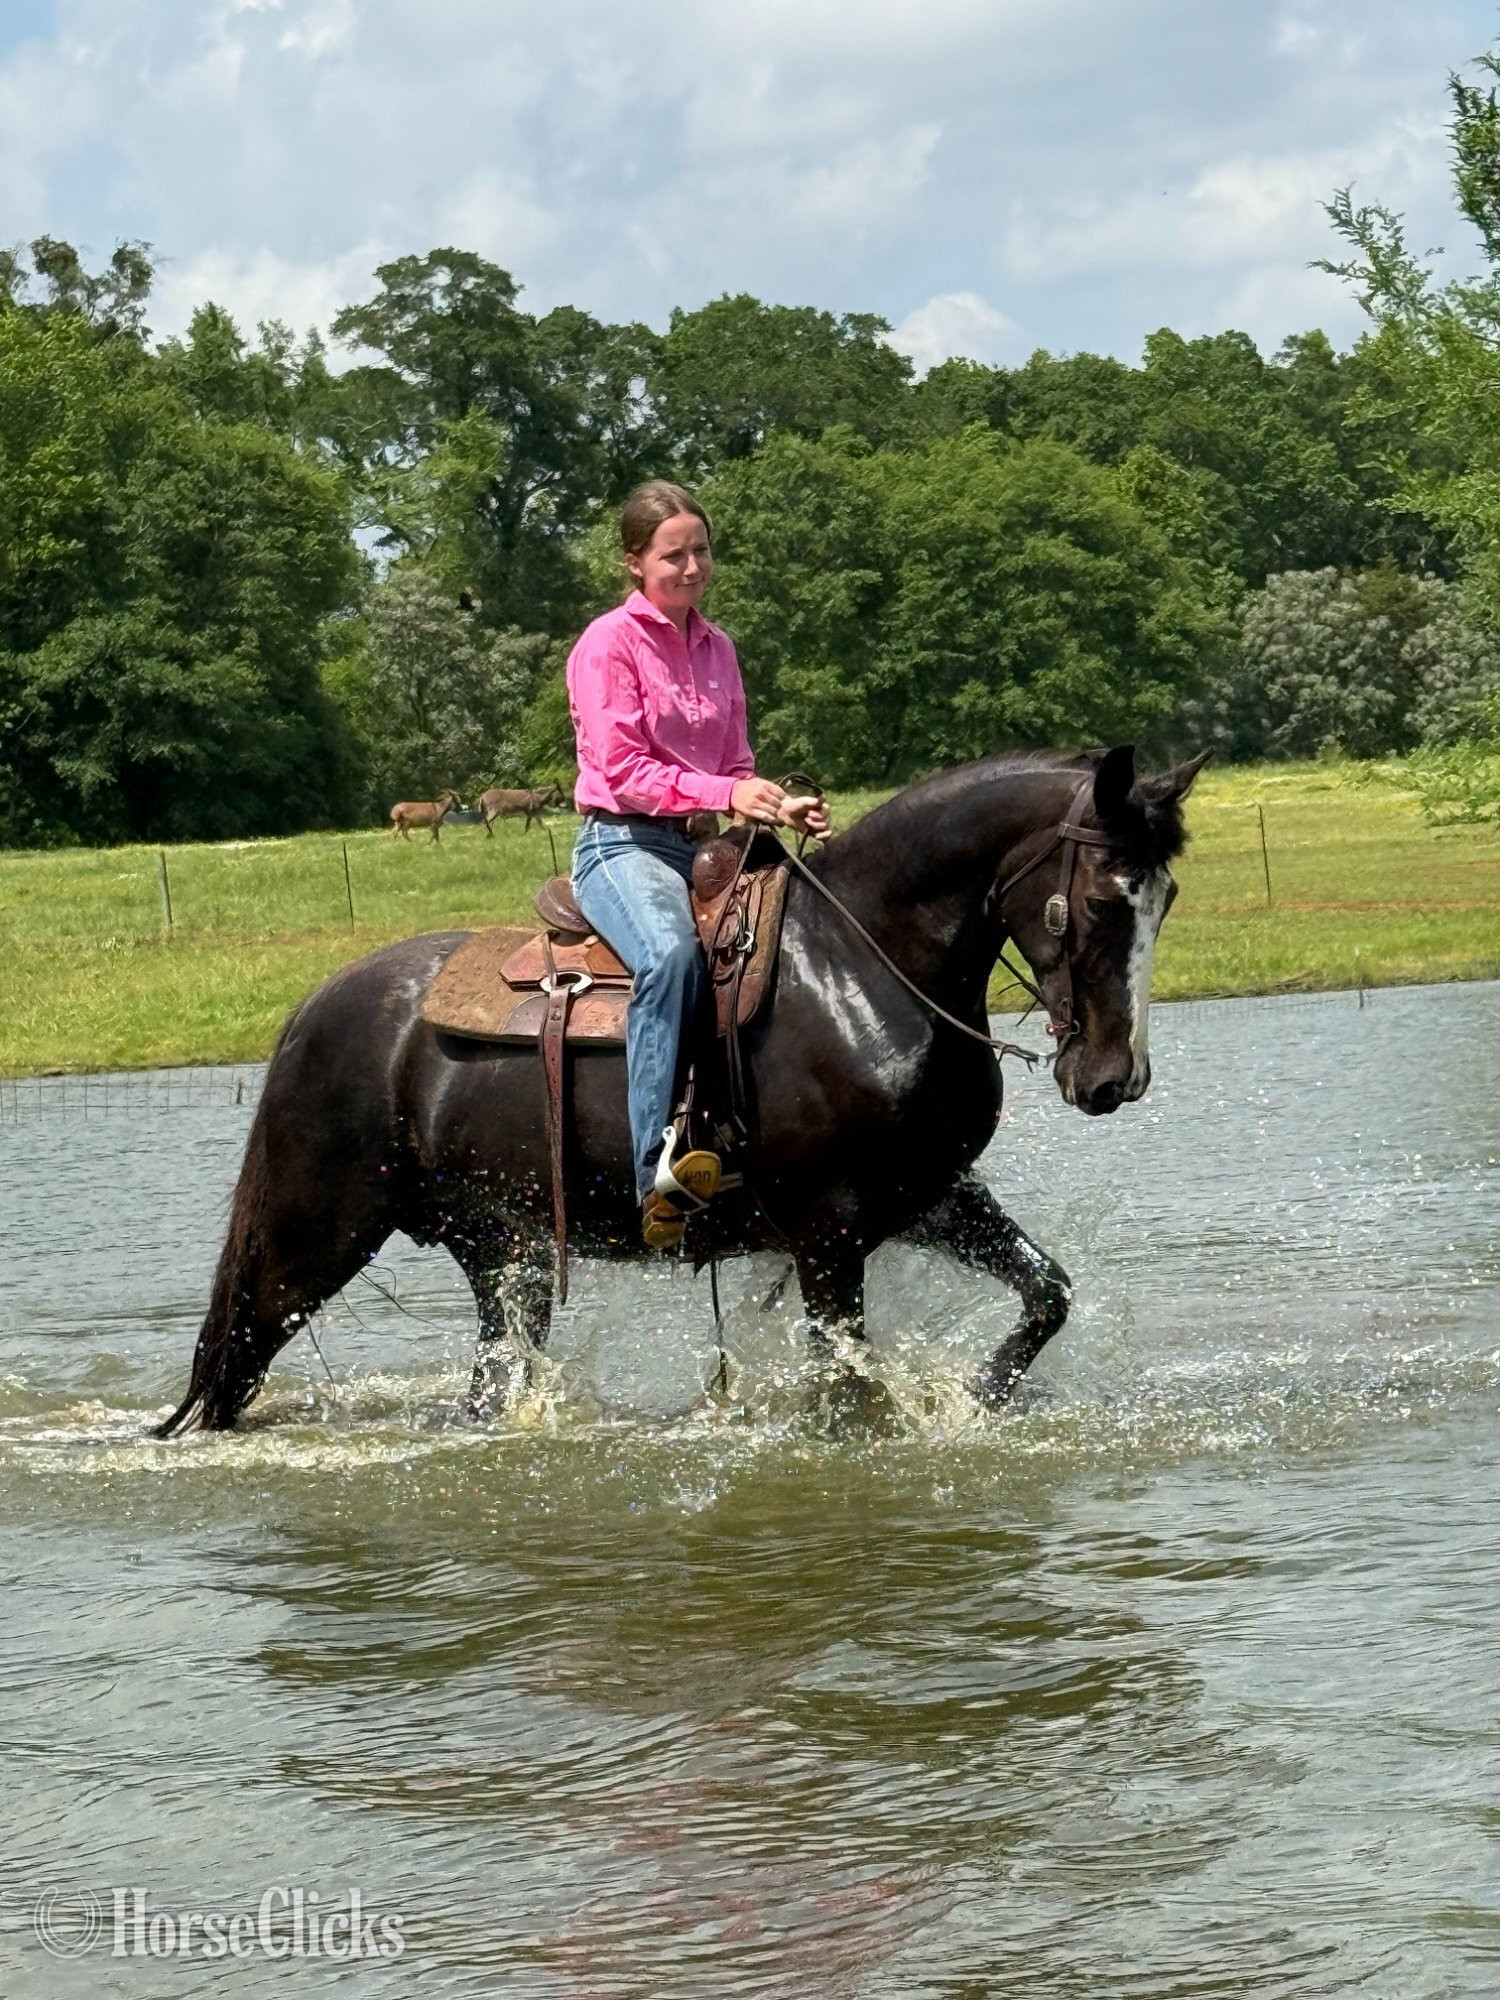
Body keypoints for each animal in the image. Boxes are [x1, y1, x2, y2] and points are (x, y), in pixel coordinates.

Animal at [153, 745, 1207, 1436]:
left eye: (1165, 897)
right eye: (1104, 896)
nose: (1113, 1078)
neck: (865, 968)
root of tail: (318, 1008)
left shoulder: (928, 1197)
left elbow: (1046, 1295)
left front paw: (978, 1398)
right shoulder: (830, 1232)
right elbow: (847, 1391)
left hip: (504, 1254)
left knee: (487, 1378)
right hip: (312, 1239)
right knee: (233, 1364)